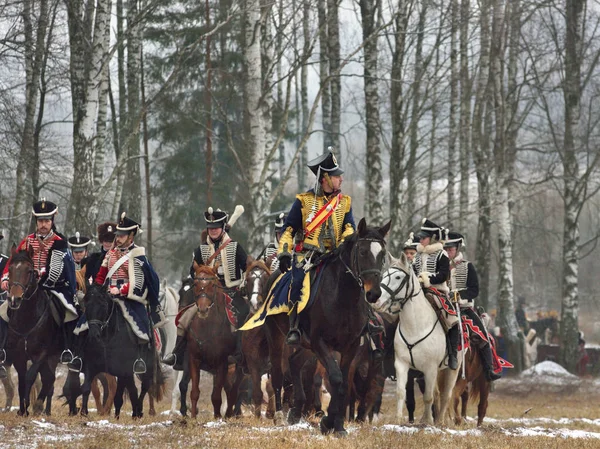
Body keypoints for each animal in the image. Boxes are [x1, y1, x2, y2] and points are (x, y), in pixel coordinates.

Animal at [4, 247, 61, 414]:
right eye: (10, 269)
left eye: (29, 271)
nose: (14, 300)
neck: (26, 321)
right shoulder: (18, 355)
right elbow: (22, 380)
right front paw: (22, 409)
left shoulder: (41, 354)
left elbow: (30, 376)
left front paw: (28, 405)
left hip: (53, 356)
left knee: (49, 380)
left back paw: (40, 406)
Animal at [73, 284, 165, 416]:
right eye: (86, 303)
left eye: (103, 305)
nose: (93, 335)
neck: (107, 337)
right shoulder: (91, 365)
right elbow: (87, 388)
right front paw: (84, 413)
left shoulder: (123, 369)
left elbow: (121, 392)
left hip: (146, 367)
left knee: (144, 386)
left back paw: (139, 411)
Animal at [189, 262, 243, 416]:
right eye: (195, 283)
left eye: (212, 285)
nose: (203, 309)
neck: (206, 328)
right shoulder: (194, 359)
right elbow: (194, 392)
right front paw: (193, 416)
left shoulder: (221, 362)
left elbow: (216, 395)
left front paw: (218, 416)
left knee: (233, 391)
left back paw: (229, 414)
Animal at [266, 217, 390, 434]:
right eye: (362, 251)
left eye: (382, 254)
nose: (373, 293)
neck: (342, 297)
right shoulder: (320, 342)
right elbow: (336, 378)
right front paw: (328, 421)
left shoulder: (349, 346)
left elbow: (342, 384)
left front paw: (336, 424)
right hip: (278, 338)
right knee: (278, 373)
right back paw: (280, 415)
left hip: (307, 346)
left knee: (295, 362)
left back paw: (296, 411)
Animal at [370, 252, 464, 424]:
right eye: (385, 275)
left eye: (398, 277)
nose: (376, 301)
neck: (416, 326)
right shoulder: (401, 364)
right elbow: (401, 392)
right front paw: (398, 420)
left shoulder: (430, 368)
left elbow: (428, 397)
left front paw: (428, 422)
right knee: (438, 394)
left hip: (452, 370)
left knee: (445, 395)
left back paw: (439, 421)